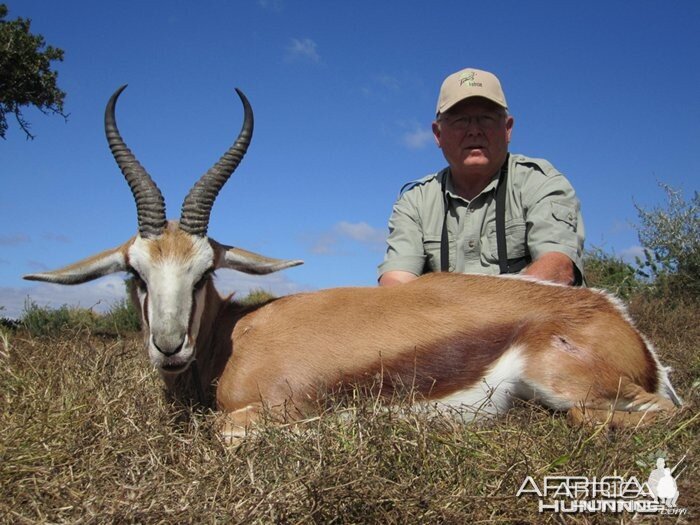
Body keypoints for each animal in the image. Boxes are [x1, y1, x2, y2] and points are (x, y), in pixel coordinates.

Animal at [24, 88, 680, 440]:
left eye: (203, 272)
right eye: (135, 274)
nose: (168, 347)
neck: (235, 339)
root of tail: (615, 317)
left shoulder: (261, 411)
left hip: (576, 392)